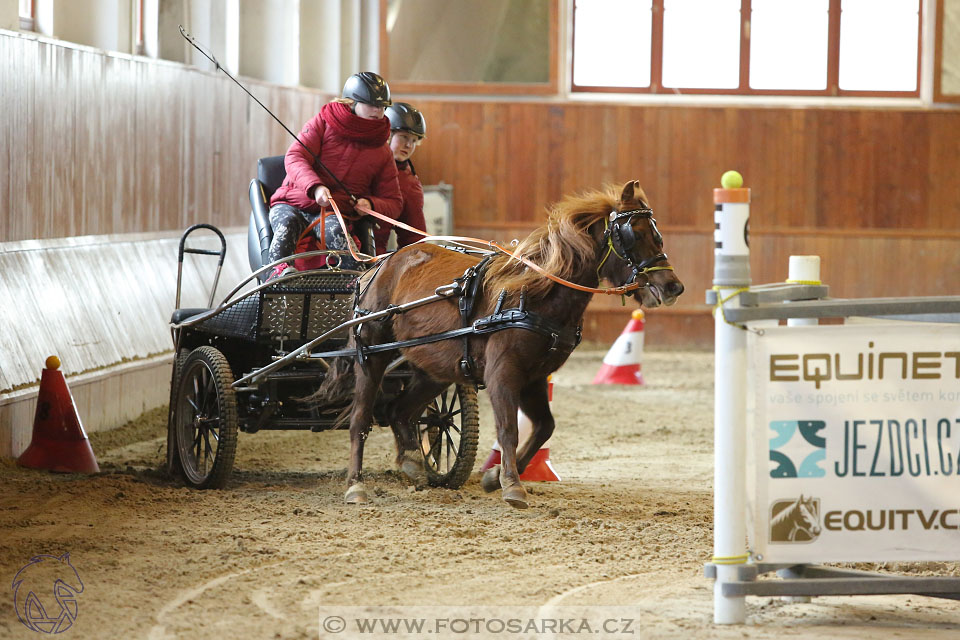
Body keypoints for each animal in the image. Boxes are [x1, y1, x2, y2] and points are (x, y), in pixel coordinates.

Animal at [314, 181, 684, 510]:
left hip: (434, 368)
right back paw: (355, 486)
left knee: (399, 411)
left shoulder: (535, 378)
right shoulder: (502, 374)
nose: (673, 287)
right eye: (633, 234)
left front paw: (495, 477)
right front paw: (512, 485)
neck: (531, 294)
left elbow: (544, 427)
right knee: (361, 419)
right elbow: (508, 428)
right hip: (371, 355)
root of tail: (377, 266)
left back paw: (413, 464)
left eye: (657, 233)